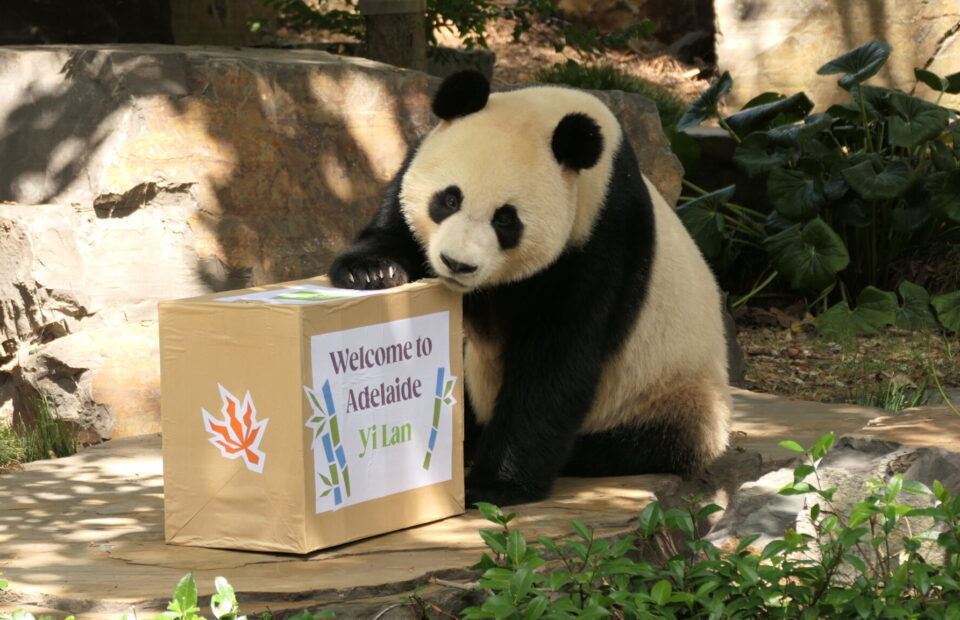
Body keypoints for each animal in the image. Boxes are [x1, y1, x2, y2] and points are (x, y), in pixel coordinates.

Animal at [330, 70, 731, 507]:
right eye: (449, 199)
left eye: (505, 220)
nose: (456, 264)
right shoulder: (414, 166)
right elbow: (394, 230)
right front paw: (371, 273)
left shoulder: (601, 240)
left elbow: (556, 362)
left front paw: (494, 484)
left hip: (669, 390)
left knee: (648, 439)